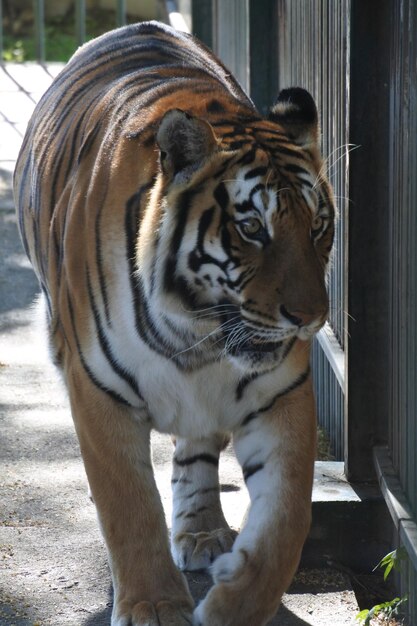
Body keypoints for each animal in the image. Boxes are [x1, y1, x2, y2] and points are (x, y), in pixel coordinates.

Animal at [14, 19, 334, 624]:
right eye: (252, 228)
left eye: (319, 227)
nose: (310, 319)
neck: (198, 334)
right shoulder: (97, 392)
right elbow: (129, 506)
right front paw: (153, 606)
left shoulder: (282, 392)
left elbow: (288, 519)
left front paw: (234, 606)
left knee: (198, 448)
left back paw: (205, 533)